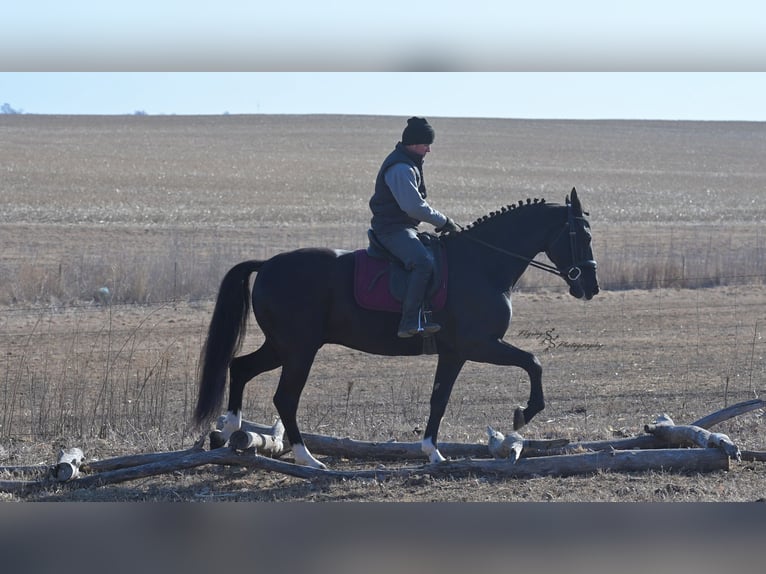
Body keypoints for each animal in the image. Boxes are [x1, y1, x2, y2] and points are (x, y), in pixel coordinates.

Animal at [194, 188, 599, 468]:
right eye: (582, 235)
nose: (590, 287)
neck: (482, 264)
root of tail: (268, 264)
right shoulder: (480, 345)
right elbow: (533, 362)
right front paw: (522, 414)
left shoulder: (454, 353)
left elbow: (439, 398)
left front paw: (433, 453)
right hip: (299, 350)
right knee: (284, 397)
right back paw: (307, 458)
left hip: (283, 346)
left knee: (240, 367)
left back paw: (228, 429)